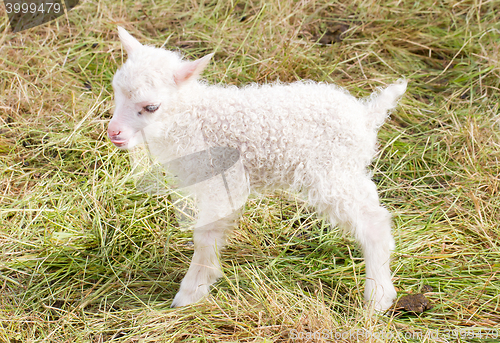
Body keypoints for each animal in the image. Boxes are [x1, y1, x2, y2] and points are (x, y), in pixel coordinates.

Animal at [108, 26, 406, 312]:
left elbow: (205, 236)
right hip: (344, 170)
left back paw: (378, 297)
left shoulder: (222, 181)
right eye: (116, 91)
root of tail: (366, 115)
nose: (114, 133)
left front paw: (191, 293)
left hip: (332, 171)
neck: (193, 118)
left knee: (374, 223)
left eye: (151, 107)